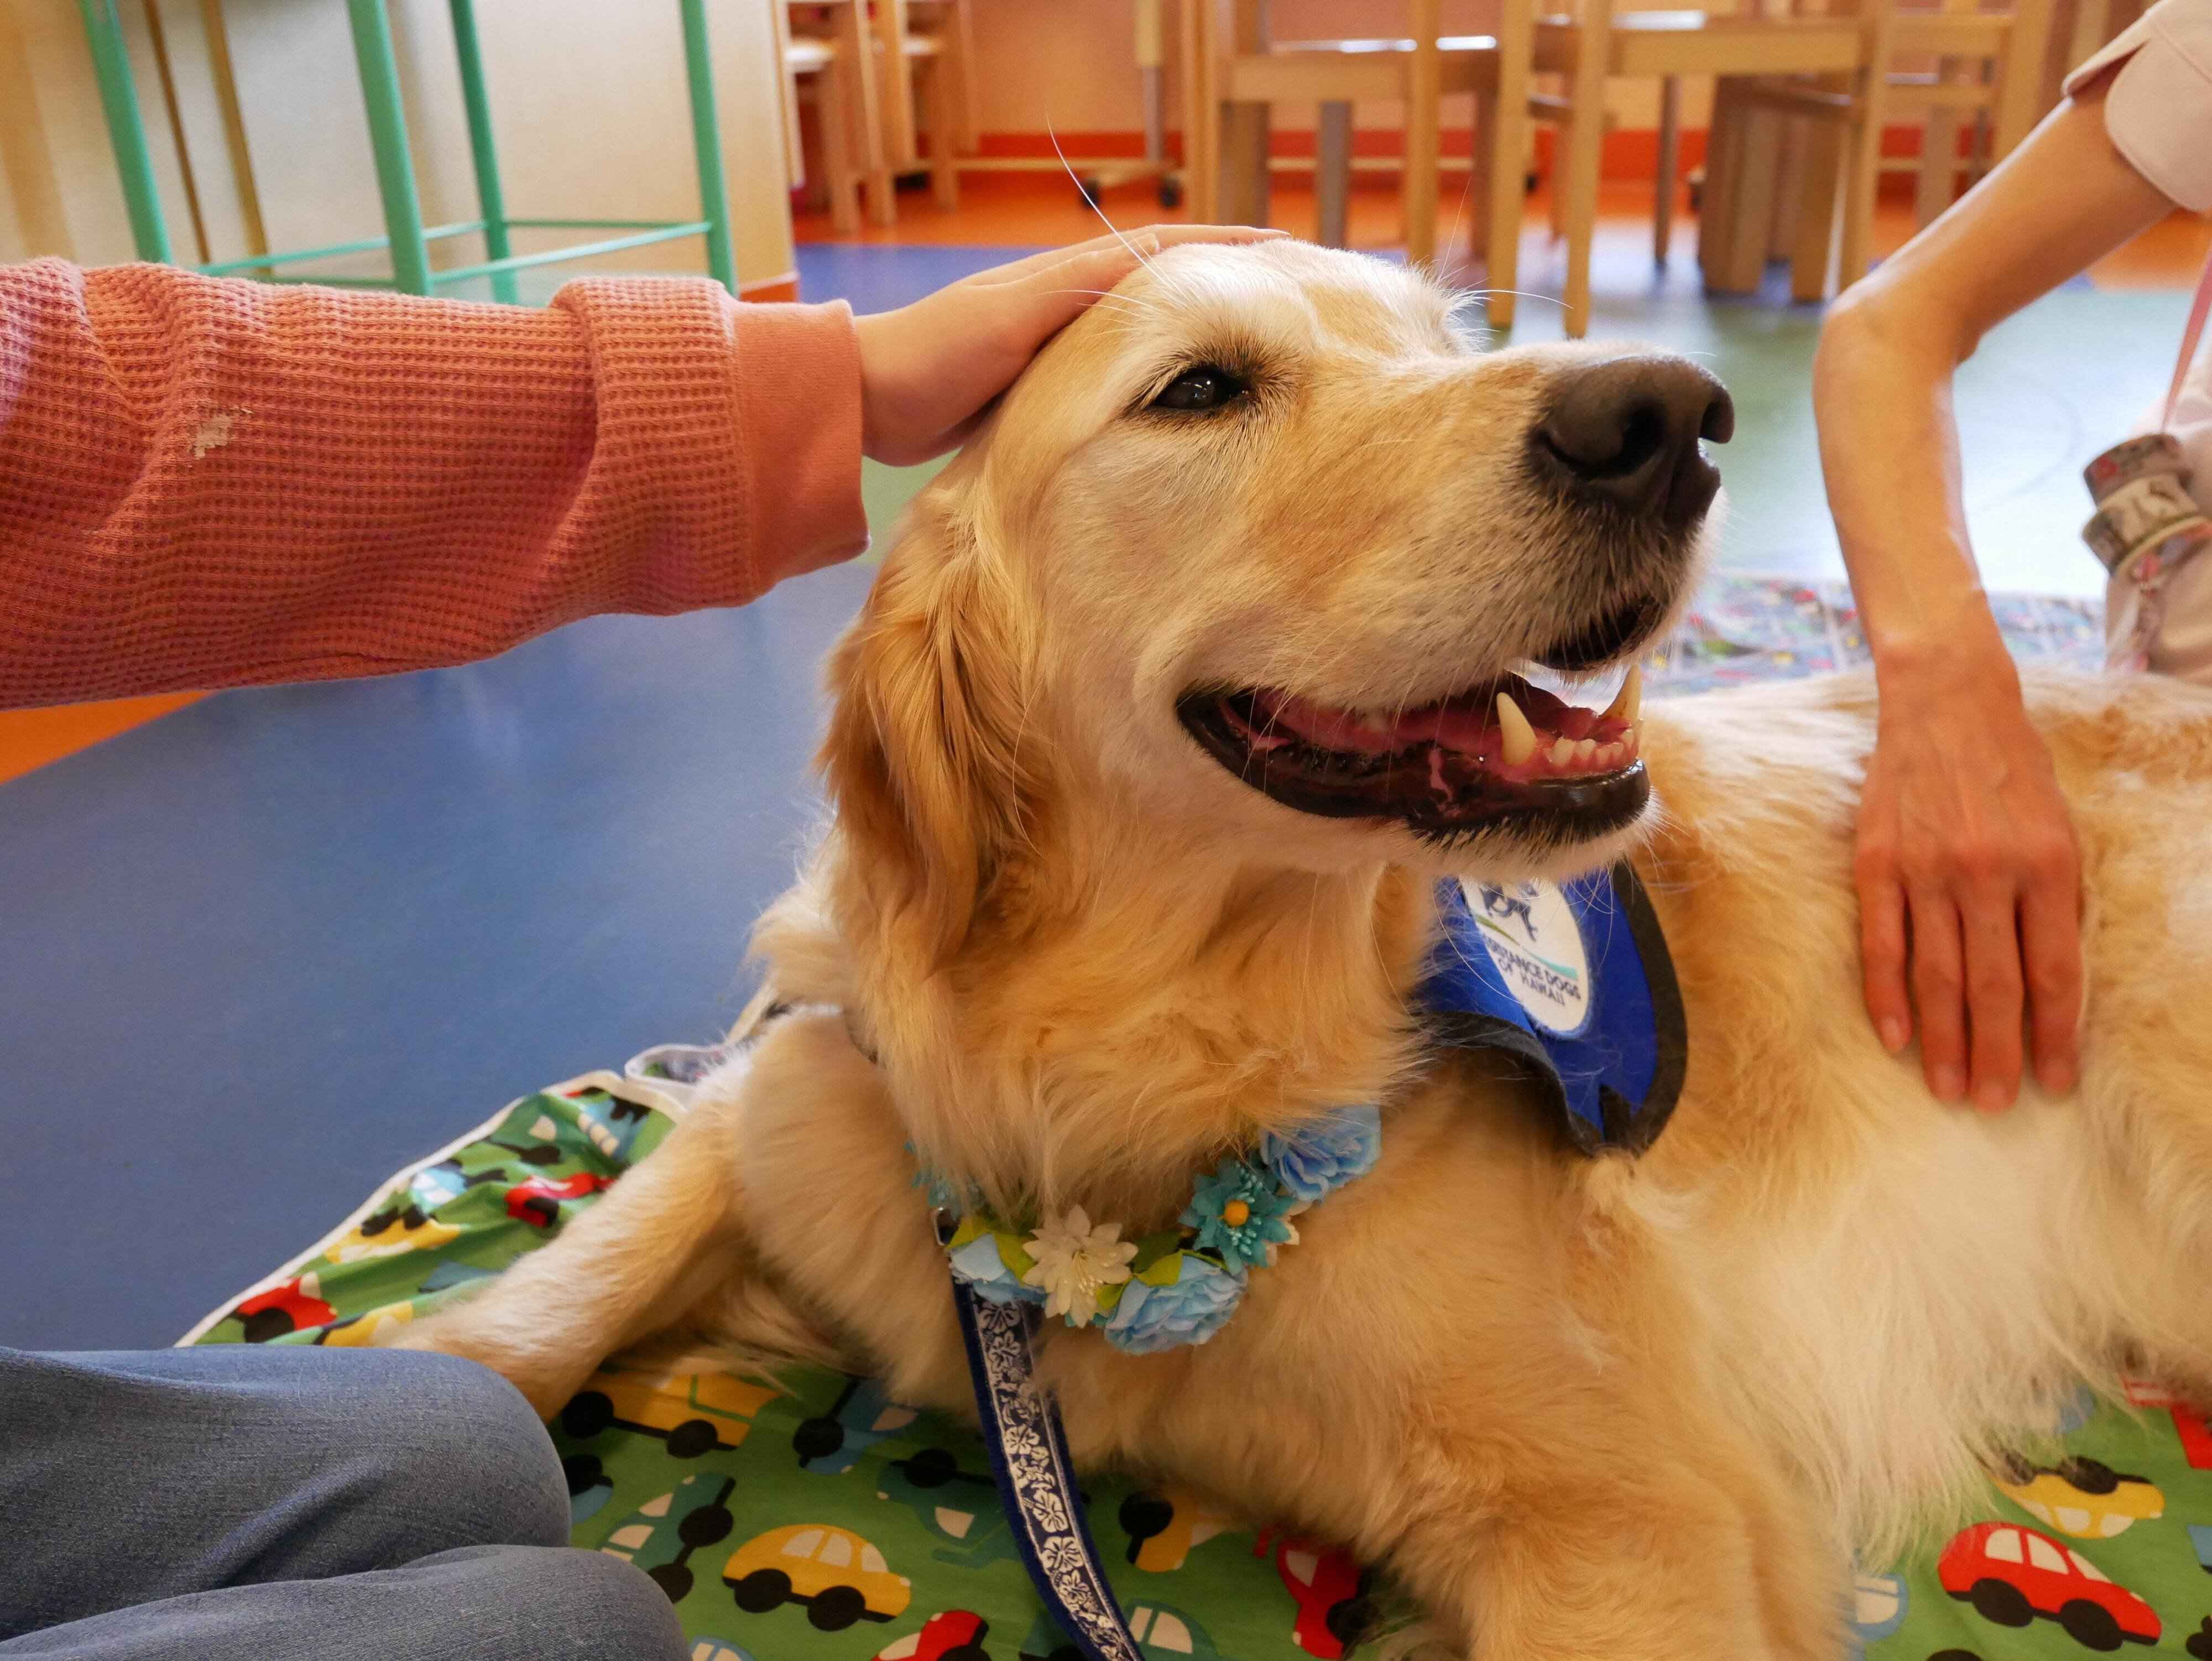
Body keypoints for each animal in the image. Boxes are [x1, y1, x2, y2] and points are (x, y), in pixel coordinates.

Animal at [397, 240, 2212, 1659]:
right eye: (1198, 389)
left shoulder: (1636, 1514)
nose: (1667, 416)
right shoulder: (817, 1081)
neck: (1127, 1062)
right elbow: (574, 1278)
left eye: (1446, 344)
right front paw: (417, 1367)